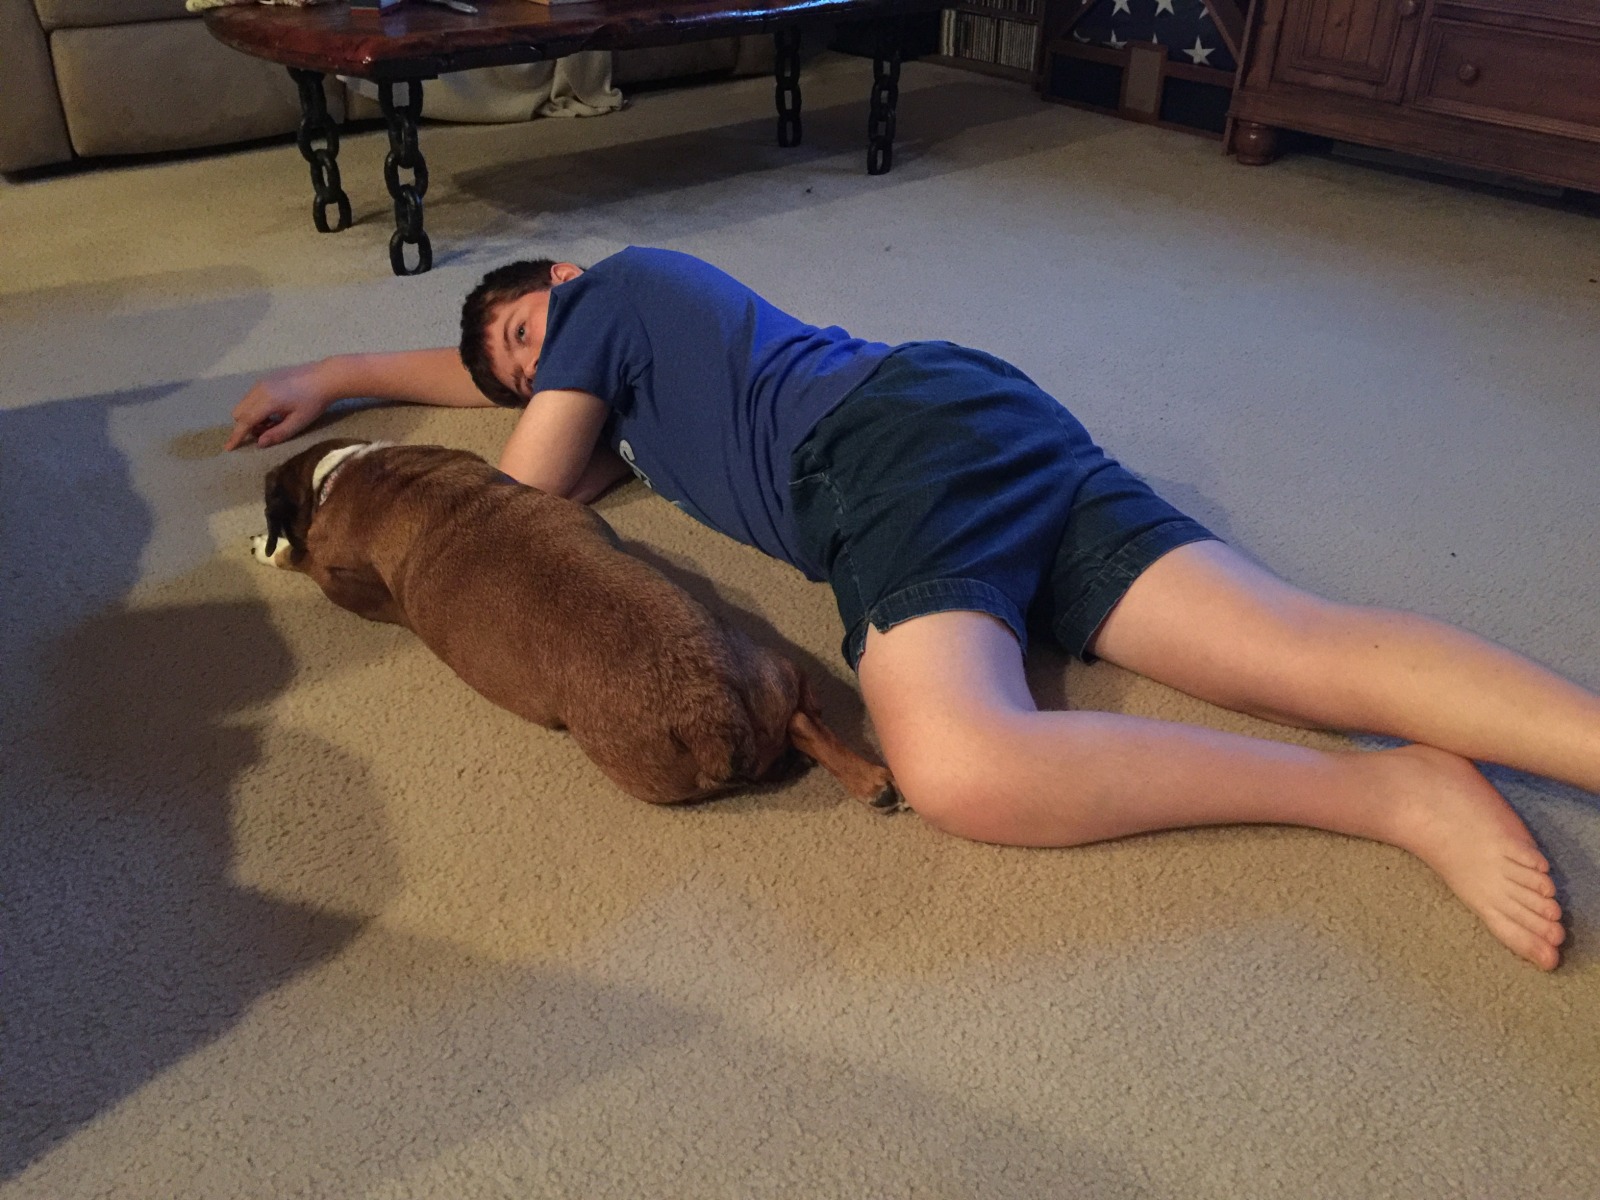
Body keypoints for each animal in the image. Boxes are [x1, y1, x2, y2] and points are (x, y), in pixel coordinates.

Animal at [252, 439, 901, 810]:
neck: (354, 473)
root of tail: (713, 712)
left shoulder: (333, 573)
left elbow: (296, 557)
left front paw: (266, 547)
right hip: (769, 666)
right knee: (802, 719)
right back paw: (870, 781)